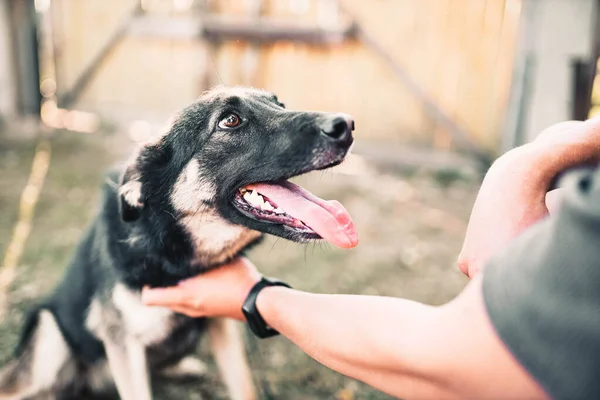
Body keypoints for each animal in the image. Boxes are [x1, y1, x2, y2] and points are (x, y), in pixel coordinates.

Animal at [0, 87, 356, 400]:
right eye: (230, 120)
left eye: (279, 104)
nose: (346, 125)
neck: (174, 253)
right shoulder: (123, 345)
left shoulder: (221, 324)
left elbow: (243, 387)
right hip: (49, 336)